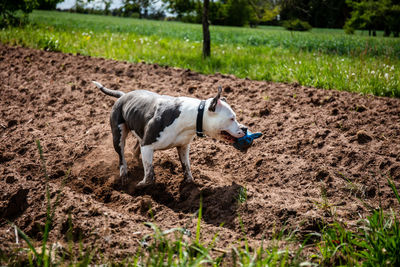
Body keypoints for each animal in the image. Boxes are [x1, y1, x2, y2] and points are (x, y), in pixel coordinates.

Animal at [93, 80, 245, 187]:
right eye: (232, 118)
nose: (244, 129)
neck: (191, 116)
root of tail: (123, 96)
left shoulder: (183, 147)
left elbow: (186, 167)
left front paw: (190, 184)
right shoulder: (147, 146)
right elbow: (149, 175)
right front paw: (140, 186)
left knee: (135, 149)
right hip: (118, 136)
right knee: (121, 157)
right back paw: (124, 175)